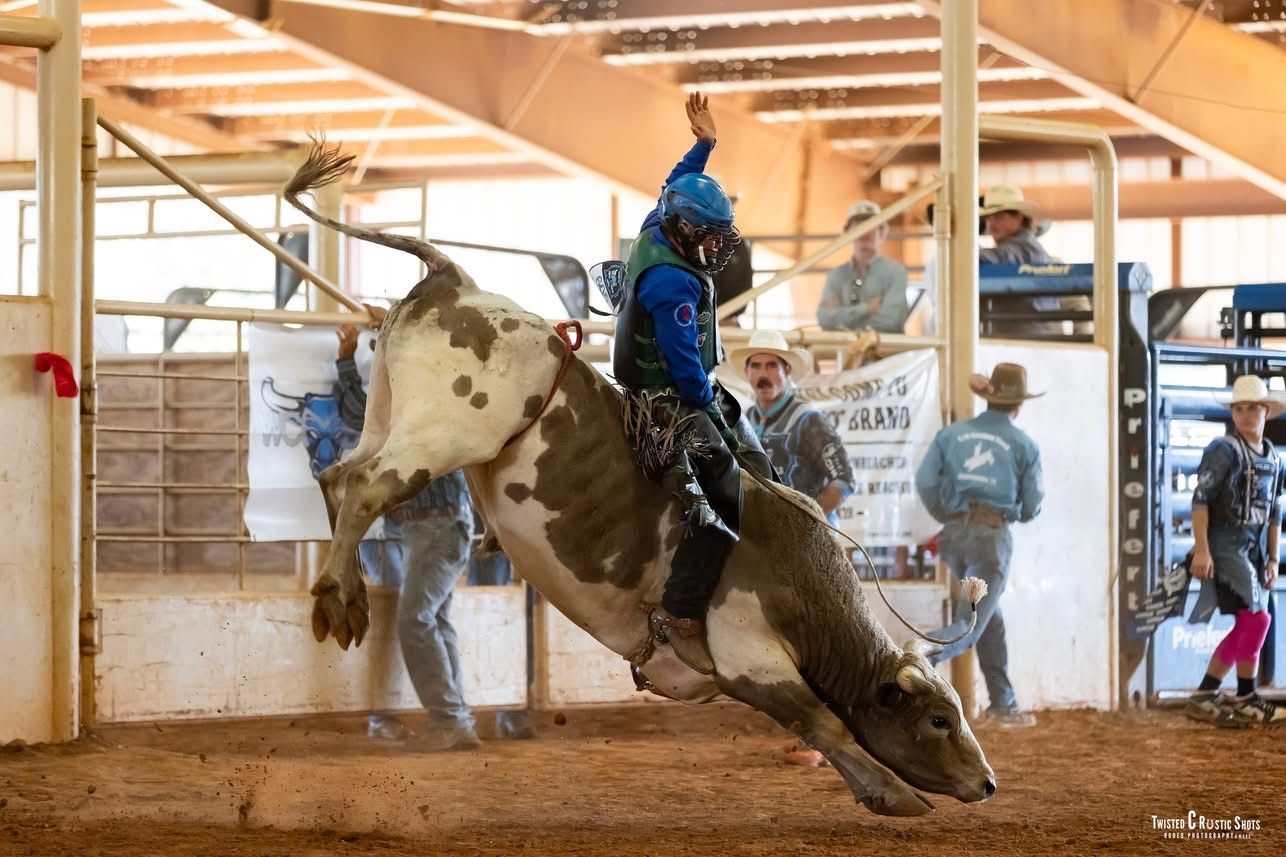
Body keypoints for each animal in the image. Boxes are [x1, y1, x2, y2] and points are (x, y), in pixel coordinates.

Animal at [284, 142, 995, 817]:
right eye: (939, 718)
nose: (987, 782)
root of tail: (456, 280)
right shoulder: (750, 655)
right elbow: (825, 722)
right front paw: (896, 795)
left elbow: (819, 725)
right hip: (444, 433)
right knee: (370, 486)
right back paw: (336, 595)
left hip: (387, 413)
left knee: (339, 475)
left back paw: (346, 595)